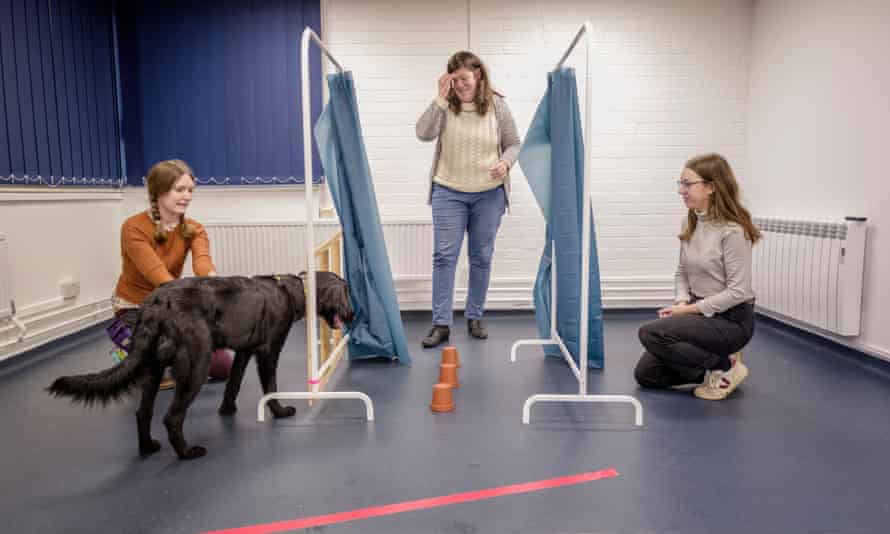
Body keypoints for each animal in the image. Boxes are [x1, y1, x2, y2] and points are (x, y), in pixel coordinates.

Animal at [46, 274, 350, 462]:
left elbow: (233, 384)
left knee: (143, 413)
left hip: (153, 369)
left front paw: (227, 410)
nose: (353, 313)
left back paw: (147, 447)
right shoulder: (267, 352)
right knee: (171, 417)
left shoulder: (243, 351)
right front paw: (279, 412)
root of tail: (155, 304)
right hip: (197, 364)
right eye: (345, 296)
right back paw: (186, 453)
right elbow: (270, 387)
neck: (291, 290)